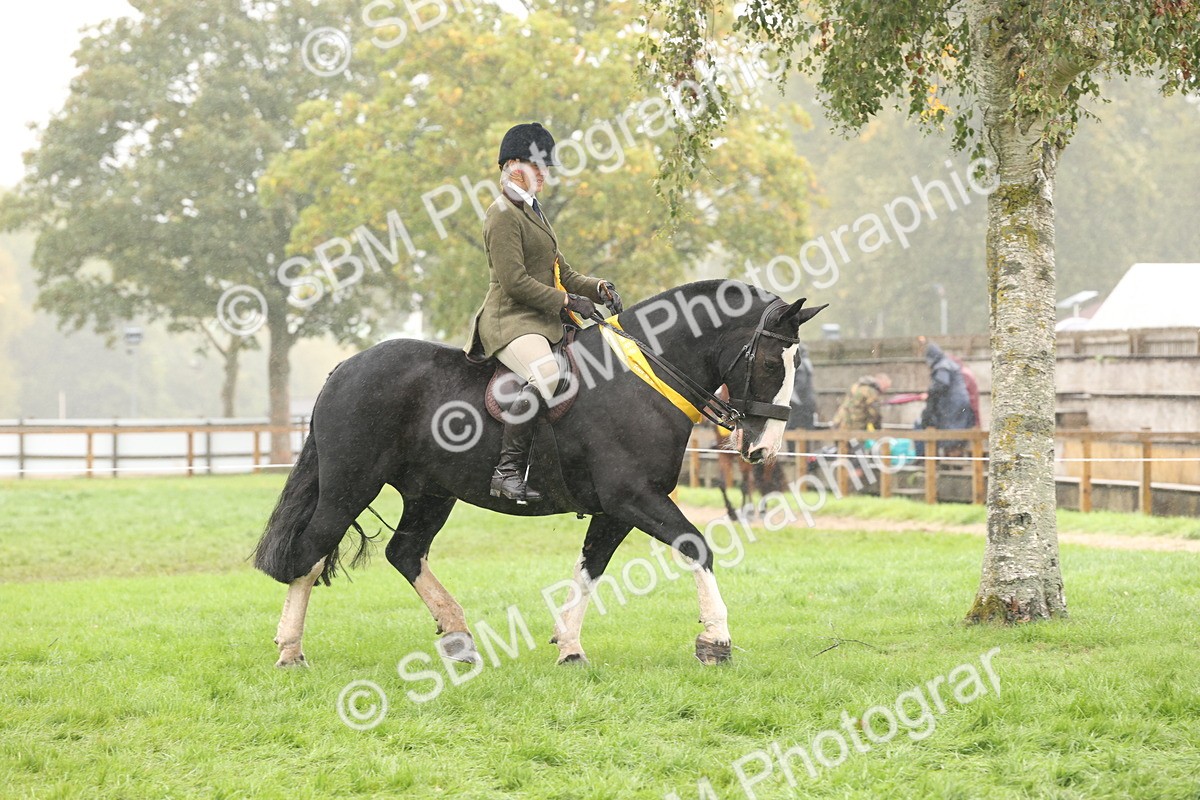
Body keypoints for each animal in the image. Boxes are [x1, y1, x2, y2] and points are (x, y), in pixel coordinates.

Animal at [252, 280, 826, 667]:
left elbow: (590, 569)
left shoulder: (617, 510)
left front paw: (569, 645)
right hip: (349, 486)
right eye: (772, 364)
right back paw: (290, 651)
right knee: (310, 554)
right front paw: (715, 640)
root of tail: (345, 369)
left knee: (405, 553)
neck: (644, 376)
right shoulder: (634, 498)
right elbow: (697, 546)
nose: (763, 449)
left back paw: (458, 636)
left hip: (431, 493)